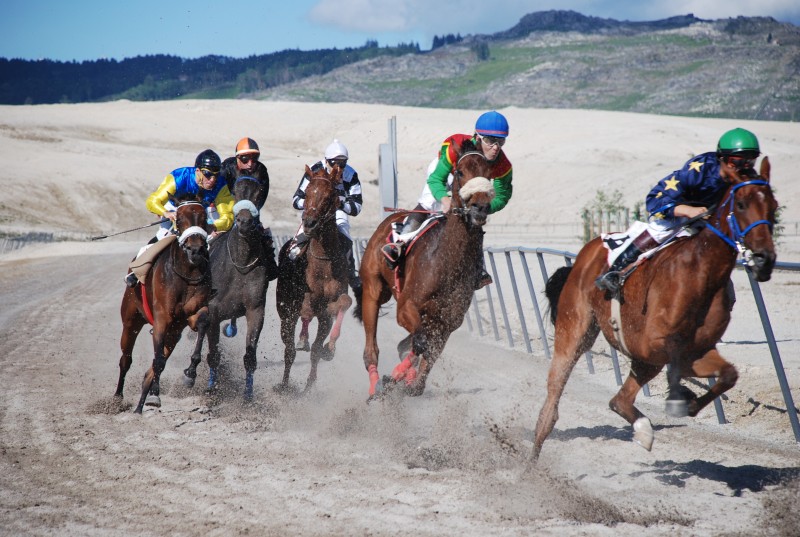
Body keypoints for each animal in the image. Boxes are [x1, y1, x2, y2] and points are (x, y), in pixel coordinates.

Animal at [114, 201, 212, 414]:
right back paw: (118, 398)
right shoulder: (162, 319)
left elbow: (202, 323)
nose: (195, 250)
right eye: (180, 218)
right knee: (126, 359)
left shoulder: (190, 315)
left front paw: (190, 373)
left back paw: (140, 404)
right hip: (130, 320)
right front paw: (155, 395)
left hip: (174, 334)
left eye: (203, 218)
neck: (187, 273)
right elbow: (157, 361)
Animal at [183, 176, 270, 398]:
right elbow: (213, 353)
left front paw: (248, 396)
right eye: (235, 193)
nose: (244, 222)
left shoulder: (255, 309)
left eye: (259, 193)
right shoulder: (213, 311)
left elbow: (250, 356)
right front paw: (210, 387)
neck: (240, 263)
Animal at [276, 162, 354, 390]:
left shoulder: (331, 305)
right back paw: (284, 384)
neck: (323, 262)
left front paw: (330, 348)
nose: (309, 223)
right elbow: (306, 312)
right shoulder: (301, 301)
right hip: (285, 313)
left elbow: (344, 303)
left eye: (329, 196)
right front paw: (304, 338)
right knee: (289, 350)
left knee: (314, 349)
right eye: (308, 192)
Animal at [354, 140, 494, 400]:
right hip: (373, 290)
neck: (447, 264)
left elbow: (425, 351)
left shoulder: (448, 321)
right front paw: (393, 379)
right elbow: (420, 343)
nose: (479, 208)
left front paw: (407, 381)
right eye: (460, 172)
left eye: (489, 175)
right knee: (371, 348)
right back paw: (376, 386)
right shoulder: (406, 307)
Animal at [528, 158, 780, 460]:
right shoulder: (652, 344)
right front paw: (679, 397)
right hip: (575, 330)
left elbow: (729, 374)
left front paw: (689, 404)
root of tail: (585, 254)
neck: (700, 273)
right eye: (740, 204)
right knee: (555, 389)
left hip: (642, 361)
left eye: (773, 206)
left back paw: (643, 429)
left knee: (619, 400)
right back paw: (535, 449)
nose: (764, 259)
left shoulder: (696, 348)